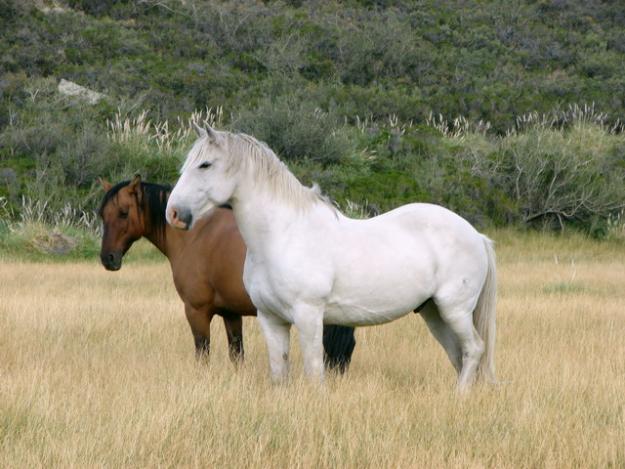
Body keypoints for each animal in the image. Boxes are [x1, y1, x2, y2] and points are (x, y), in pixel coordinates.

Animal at [95, 176, 354, 370]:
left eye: (123, 212)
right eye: (102, 214)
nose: (108, 258)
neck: (196, 235)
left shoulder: (196, 312)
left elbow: (203, 354)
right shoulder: (231, 314)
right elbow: (237, 355)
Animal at [166, 125, 498, 392]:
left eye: (205, 164)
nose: (174, 213)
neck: (283, 234)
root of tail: (476, 236)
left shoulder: (309, 316)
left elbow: (314, 372)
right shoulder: (270, 319)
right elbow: (279, 373)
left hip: (454, 310)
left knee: (474, 349)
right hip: (434, 313)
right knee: (459, 354)